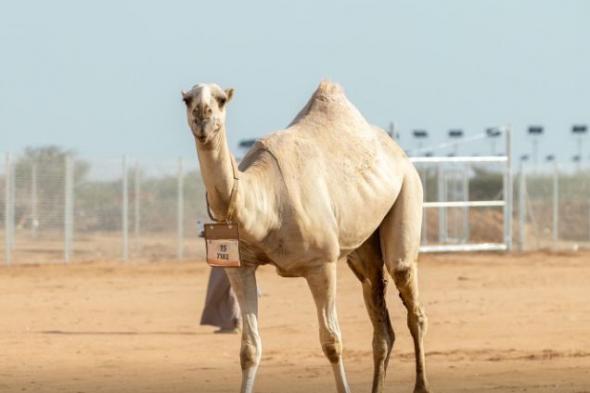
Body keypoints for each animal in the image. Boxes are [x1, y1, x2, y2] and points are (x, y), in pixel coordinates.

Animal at [183, 80, 432, 392]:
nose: (202, 118)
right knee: (379, 313)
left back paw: (421, 385)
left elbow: (332, 342)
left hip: (409, 189)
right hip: (363, 246)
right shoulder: (240, 266)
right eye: (187, 100)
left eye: (220, 100)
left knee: (411, 297)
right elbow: (249, 348)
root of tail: (399, 154)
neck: (267, 202)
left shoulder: (321, 264)